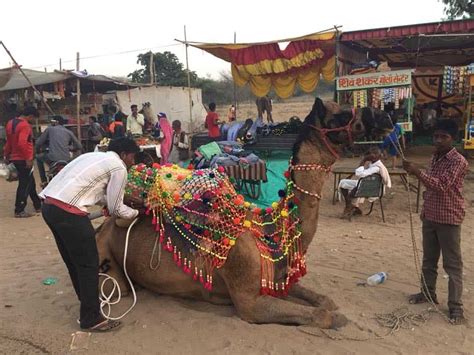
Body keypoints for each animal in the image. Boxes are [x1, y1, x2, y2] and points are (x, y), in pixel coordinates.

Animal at [96, 96, 392, 328]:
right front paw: (338, 319)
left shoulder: (277, 280)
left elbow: (325, 300)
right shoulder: (249, 301)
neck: (270, 229)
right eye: (341, 114)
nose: (385, 115)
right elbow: (324, 314)